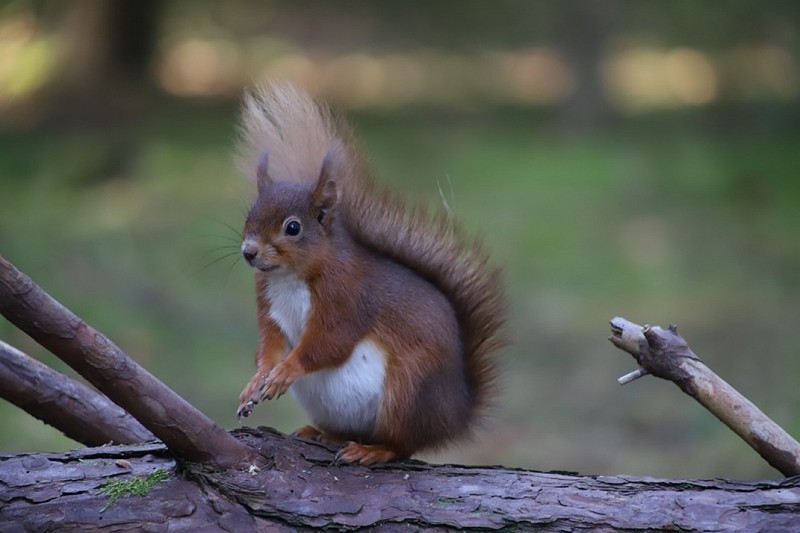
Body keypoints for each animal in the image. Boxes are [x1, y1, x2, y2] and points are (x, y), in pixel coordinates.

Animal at [235, 83, 506, 465]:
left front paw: (285, 371)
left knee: (404, 444)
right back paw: (321, 432)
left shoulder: (347, 296)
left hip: (407, 390)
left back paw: (372, 450)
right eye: (250, 215)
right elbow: (269, 346)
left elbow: (328, 343)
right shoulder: (268, 305)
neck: (289, 277)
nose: (249, 252)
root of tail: (455, 415)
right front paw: (256, 381)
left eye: (293, 227)